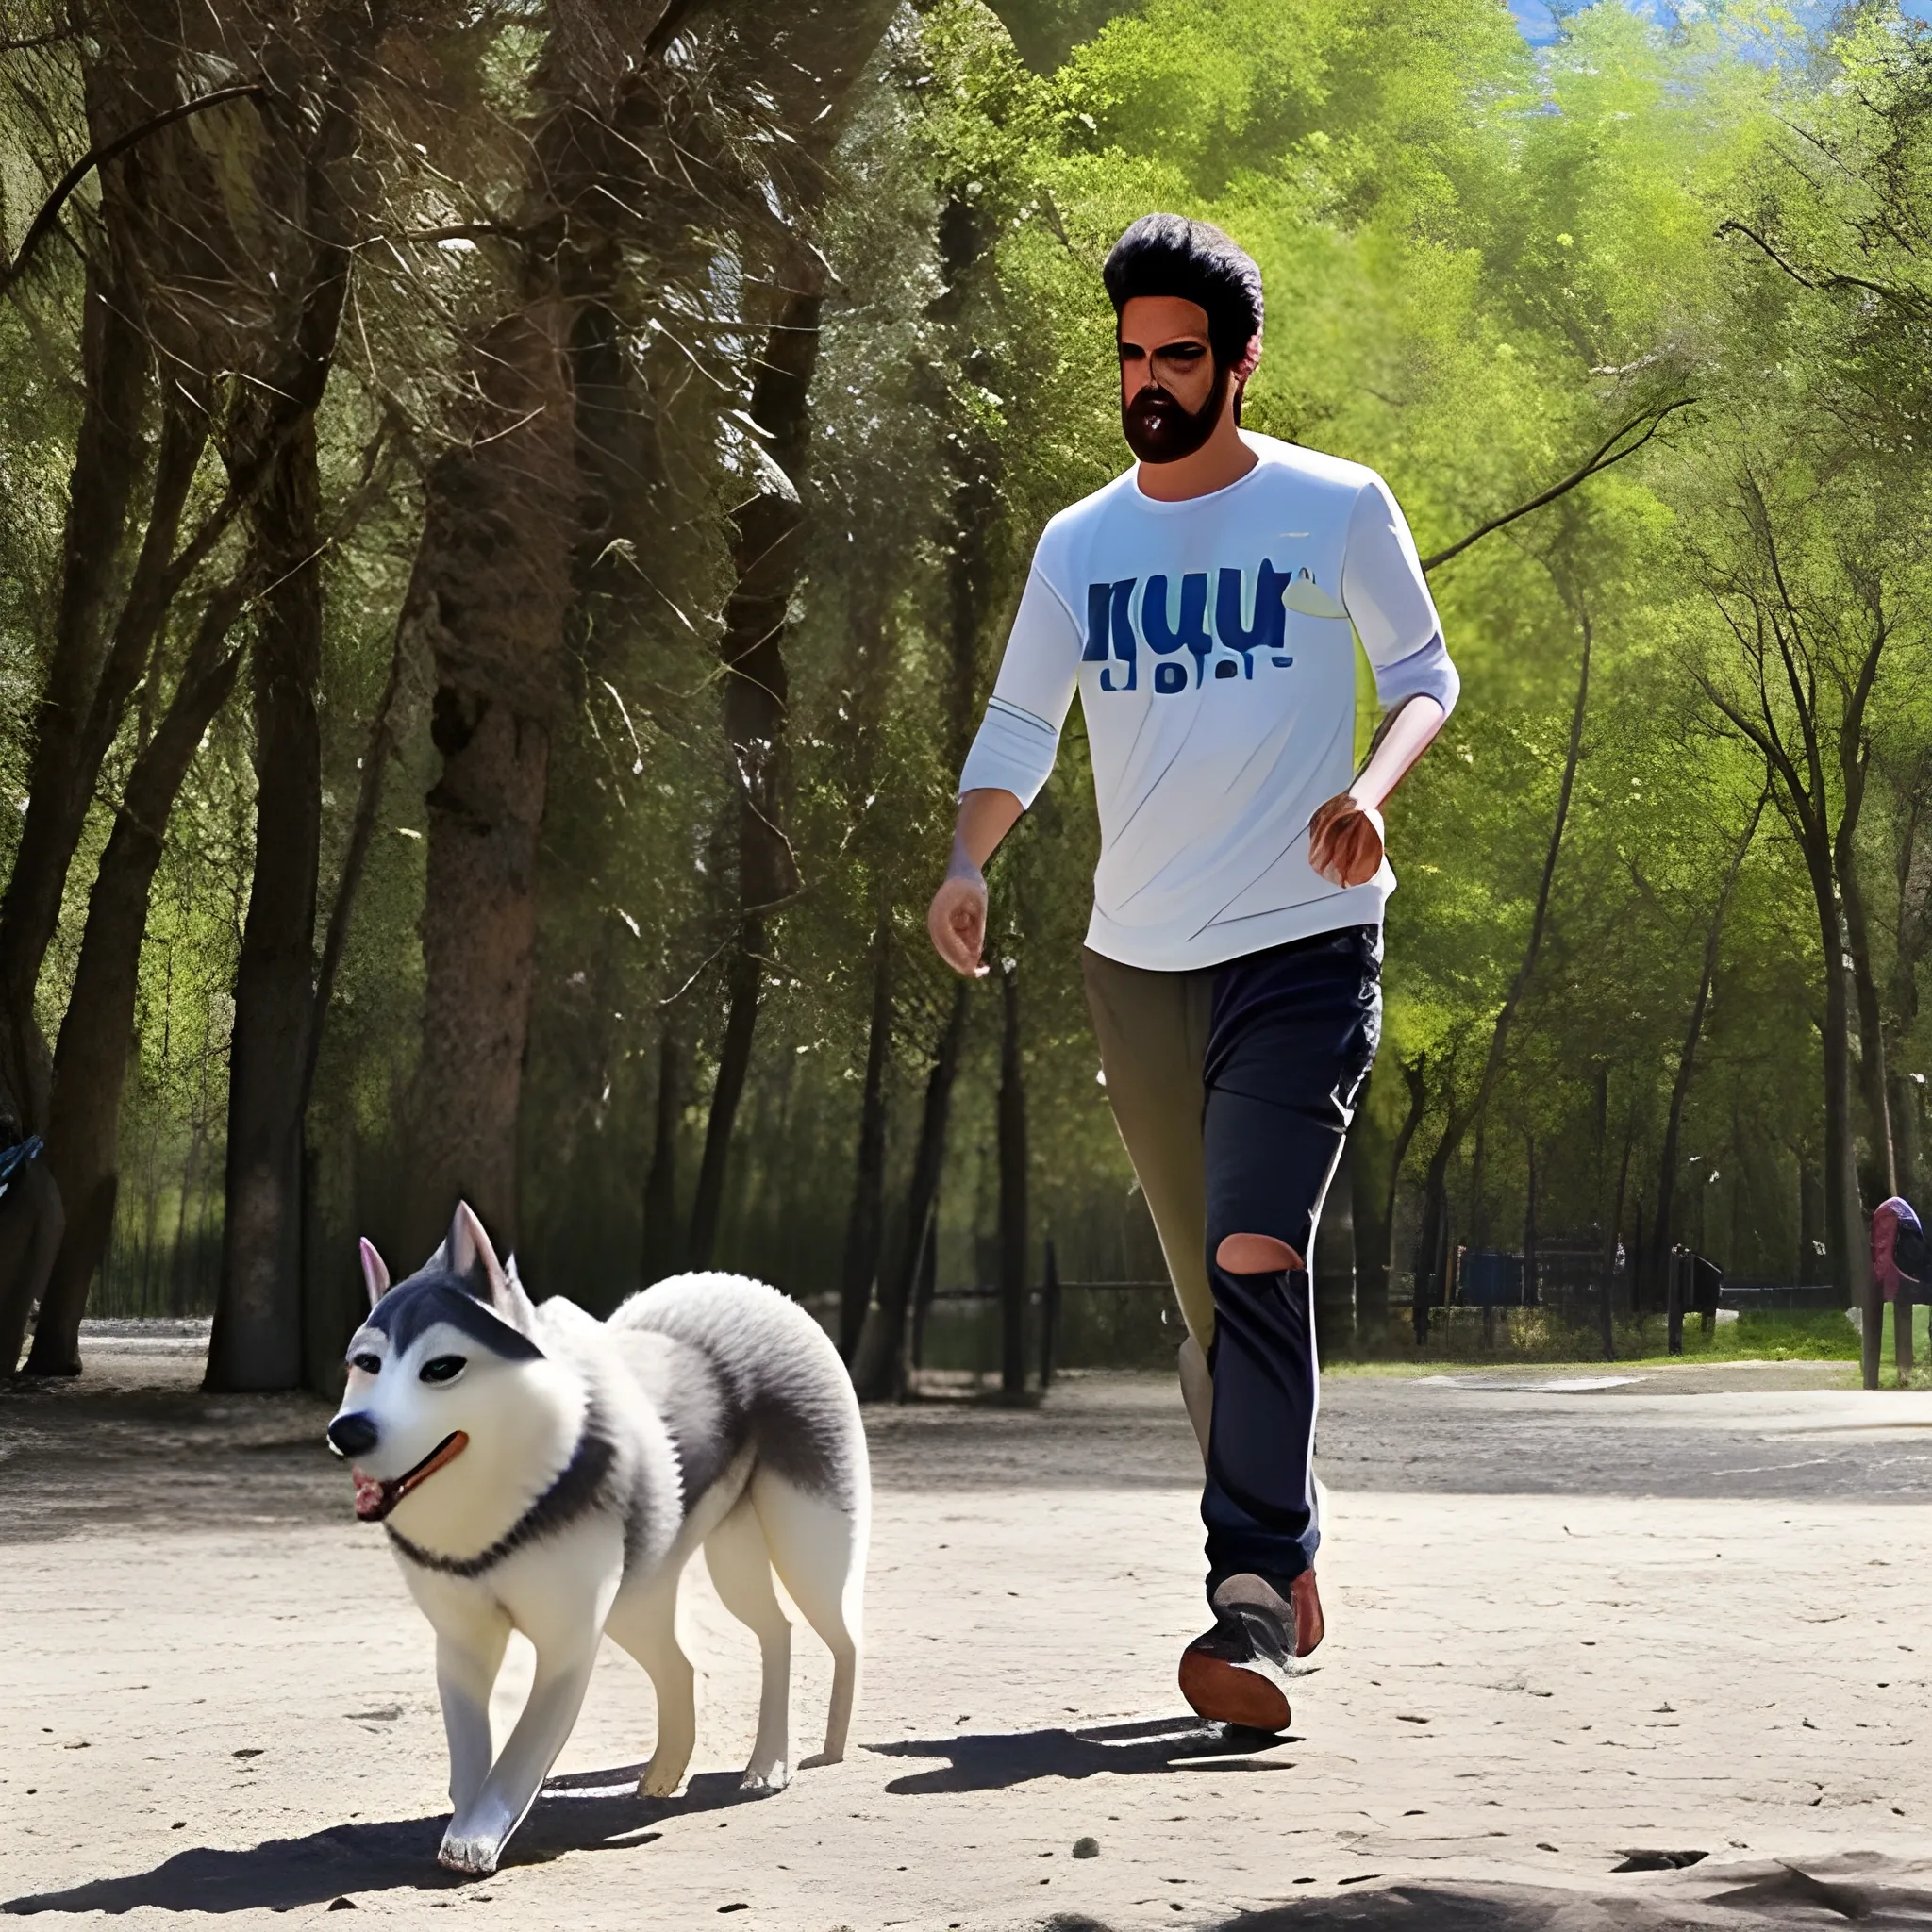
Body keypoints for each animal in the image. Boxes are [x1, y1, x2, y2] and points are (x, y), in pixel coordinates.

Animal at [328, 1205, 873, 1870]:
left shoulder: (568, 1639)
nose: (347, 1432)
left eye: (442, 1368)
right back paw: (688, 1771)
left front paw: (475, 1839)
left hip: (807, 1549)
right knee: (752, 1638)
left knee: (839, 1634)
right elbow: (471, 1746)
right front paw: (464, 1808)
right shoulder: (461, 1639)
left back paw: (813, 1753)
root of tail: (744, 1288)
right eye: (366, 1364)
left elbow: (524, 1748)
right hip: (652, 1589)